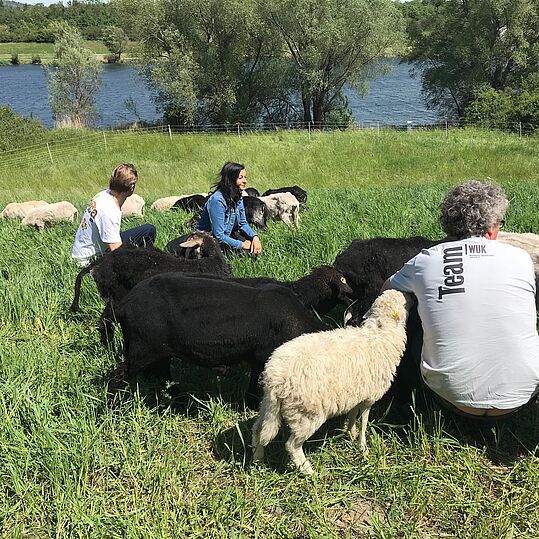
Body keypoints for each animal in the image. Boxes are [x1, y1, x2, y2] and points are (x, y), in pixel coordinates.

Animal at [251, 288, 412, 474]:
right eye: (404, 302)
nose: (412, 295)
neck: (381, 332)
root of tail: (275, 378)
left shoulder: (357, 392)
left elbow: (353, 414)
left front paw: (351, 432)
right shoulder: (370, 396)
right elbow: (364, 421)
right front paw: (363, 446)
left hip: (268, 405)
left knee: (258, 430)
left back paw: (258, 460)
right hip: (306, 414)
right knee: (292, 445)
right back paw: (308, 471)